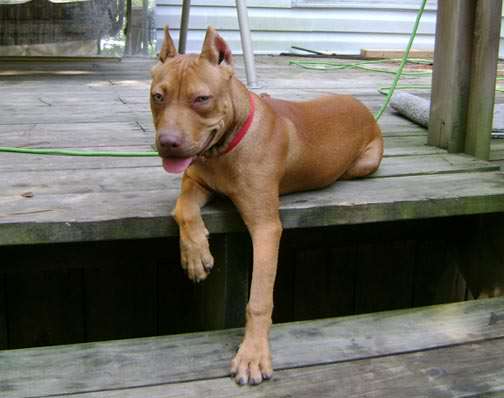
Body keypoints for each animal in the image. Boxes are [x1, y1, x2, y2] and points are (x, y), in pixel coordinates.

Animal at [150, 25, 382, 386]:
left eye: (202, 99)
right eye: (157, 97)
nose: (168, 144)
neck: (225, 148)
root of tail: (362, 106)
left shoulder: (265, 226)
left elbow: (259, 297)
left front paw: (253, 355)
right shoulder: (195, 181)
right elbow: (183, 209)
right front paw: (195, 254)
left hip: (364, 164)